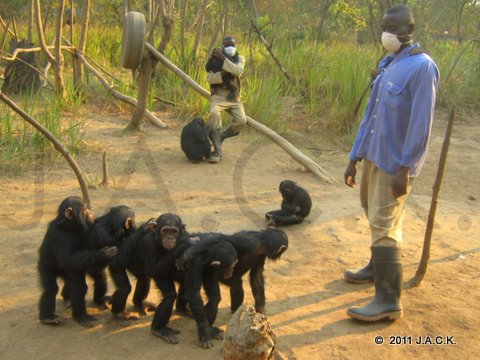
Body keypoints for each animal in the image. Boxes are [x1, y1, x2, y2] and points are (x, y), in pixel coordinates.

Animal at [37, 195, 118, 328]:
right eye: (84, 209)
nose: (90, 212)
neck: (71, 226)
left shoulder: (90, 226)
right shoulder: (59, 236)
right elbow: (67, 258)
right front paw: (103, 253)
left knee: (97, 277)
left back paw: (95, 301)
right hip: (45, 266)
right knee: (51, 288)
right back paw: (50, 317)